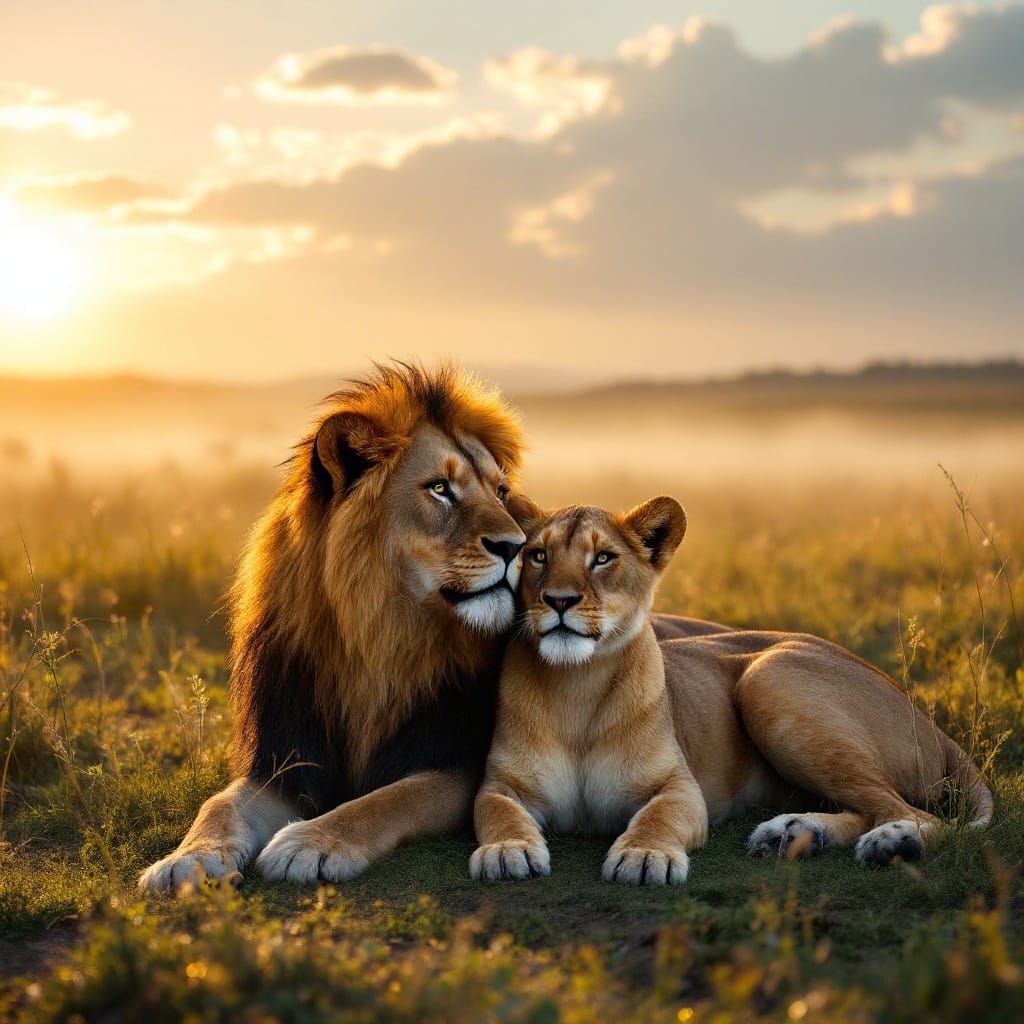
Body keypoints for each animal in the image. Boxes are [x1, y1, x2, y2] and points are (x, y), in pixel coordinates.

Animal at [137, 362, 731, 893]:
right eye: (440, 488)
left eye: (500, 491)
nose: (516, 546)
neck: (379, 637)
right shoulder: (285, 760)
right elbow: (218, 805)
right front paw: (185, 860)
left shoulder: (455, 767)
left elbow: (381, 802)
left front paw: (308, 842)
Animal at [471, 497, 992, 883]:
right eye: (538, 555)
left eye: (602, 558)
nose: (558, 600)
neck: (577, 686)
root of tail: (930, 721)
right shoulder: (502, 784)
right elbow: (498, 812)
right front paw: (506, 850)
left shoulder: (681, 788)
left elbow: (658, 818)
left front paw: (644, 857)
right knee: (869, 807)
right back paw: (792, 833)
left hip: (768, 678)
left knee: (912, 812)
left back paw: (889, 842)